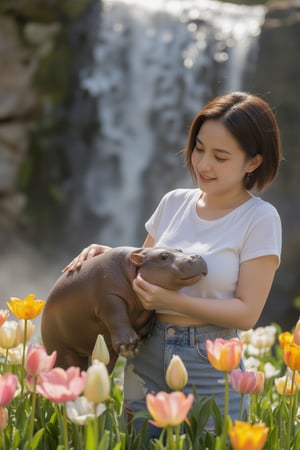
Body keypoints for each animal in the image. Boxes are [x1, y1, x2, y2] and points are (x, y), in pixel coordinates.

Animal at [41, 246, 207, 372]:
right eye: (163, 256)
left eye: (179, 249)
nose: (196, 256)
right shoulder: (109, 297)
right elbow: (117, 315)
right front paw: (129, 345)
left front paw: (139, 339)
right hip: (61, 351)